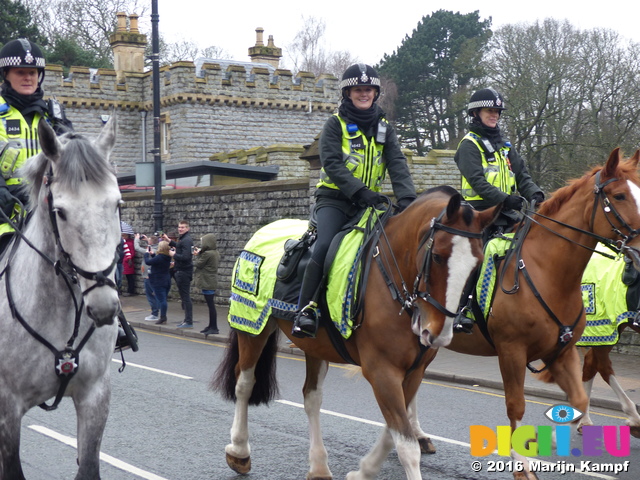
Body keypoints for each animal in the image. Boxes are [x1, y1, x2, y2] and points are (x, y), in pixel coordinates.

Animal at [0, 117, 122, 480]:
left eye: (117, 204)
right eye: (61, 211)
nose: (104, 306)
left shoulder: (95, 395)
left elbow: (90, 467)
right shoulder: (7, 407)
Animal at [214, 187, 500, 480]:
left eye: (477, 264)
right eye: (438, 256)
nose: (438, 333)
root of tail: (266, 229)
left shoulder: (414, 372)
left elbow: (394, 432)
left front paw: (364, 471)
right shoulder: (381, 370)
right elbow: (406, 445)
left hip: (315, 345)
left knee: (312, 397)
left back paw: (318, 465)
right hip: (252, 327)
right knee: (244, 384)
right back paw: (239, 451)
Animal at [420, 148, 640, 478]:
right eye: (619, 195)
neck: (545, 271)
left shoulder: (561, 350)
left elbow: (578, 396)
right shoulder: (511, 351)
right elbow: (516, 405)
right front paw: (521, 464)